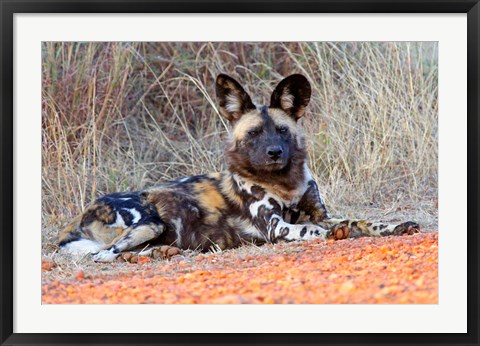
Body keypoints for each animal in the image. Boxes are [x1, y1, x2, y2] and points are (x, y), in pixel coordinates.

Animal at [58, 73, 420, 262]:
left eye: (282, 131)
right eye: (254, 133)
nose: (274, 152)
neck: (284, 183)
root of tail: (79, 214)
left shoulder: (320, 213)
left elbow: (360, 220)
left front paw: (395, 226)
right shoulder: (276, 227)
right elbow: (313, 230)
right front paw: (332, 235)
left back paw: (160, 253)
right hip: (147, 223)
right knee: (103, 254)